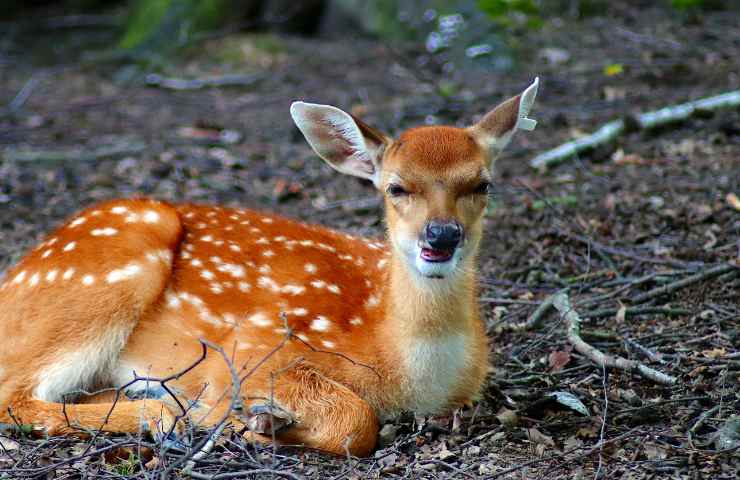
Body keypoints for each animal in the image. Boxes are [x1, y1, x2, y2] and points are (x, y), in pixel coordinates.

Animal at [0, 77, 536, 456]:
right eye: (396, 187)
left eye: (482, 184)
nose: (441, 236)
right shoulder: (251, 347)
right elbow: (355, 422)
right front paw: (249, 421)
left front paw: (262, 422)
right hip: (107, 277)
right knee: (14, 395)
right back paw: (168, 414)